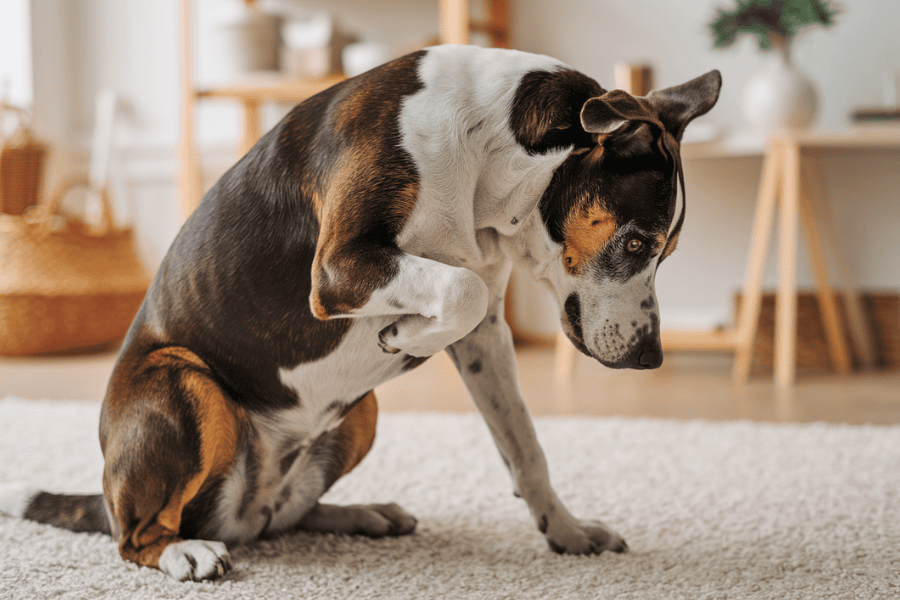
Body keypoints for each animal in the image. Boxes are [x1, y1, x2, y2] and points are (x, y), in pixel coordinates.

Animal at [0, 44, 716, 580]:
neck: (489, 159)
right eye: (636, 243)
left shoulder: (485, 336)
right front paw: (402, 333)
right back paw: (184, 552)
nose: (651, 355)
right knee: (138, 536)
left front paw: (565, 530)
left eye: (668, 250)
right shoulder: (339, 267)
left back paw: (362, 515)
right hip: (182, 382)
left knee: (276, 521)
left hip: (358, 417)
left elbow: (523, 443)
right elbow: (459, 290)